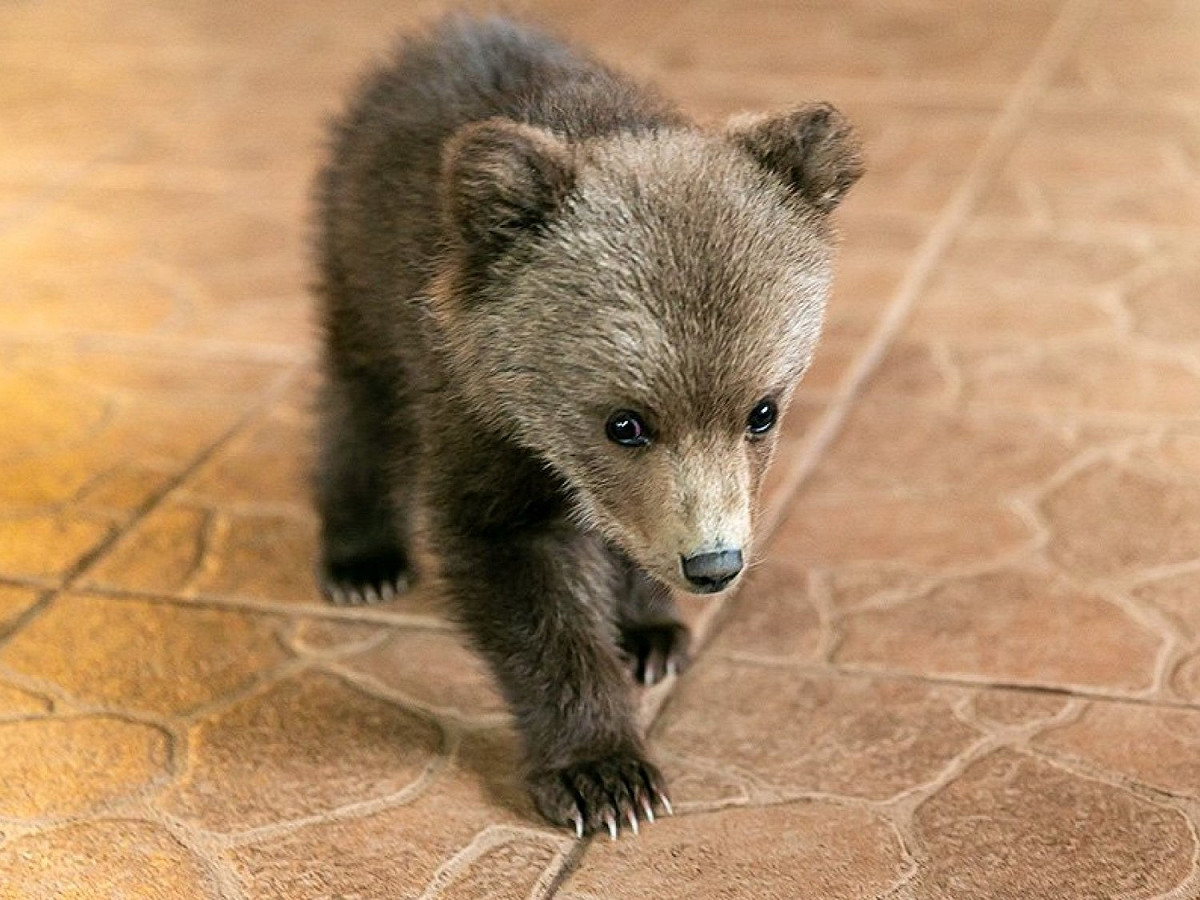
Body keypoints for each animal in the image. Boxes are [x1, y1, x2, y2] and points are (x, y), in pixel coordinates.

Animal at [312, 14, 862, 837]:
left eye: (762, 410)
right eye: (624, 423)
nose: (714, 564)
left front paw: (652, 631)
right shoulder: (479, 414)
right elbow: (522, 582)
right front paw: (605, 775)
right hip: (358, 259)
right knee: (361, 398)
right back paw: (362, 558)